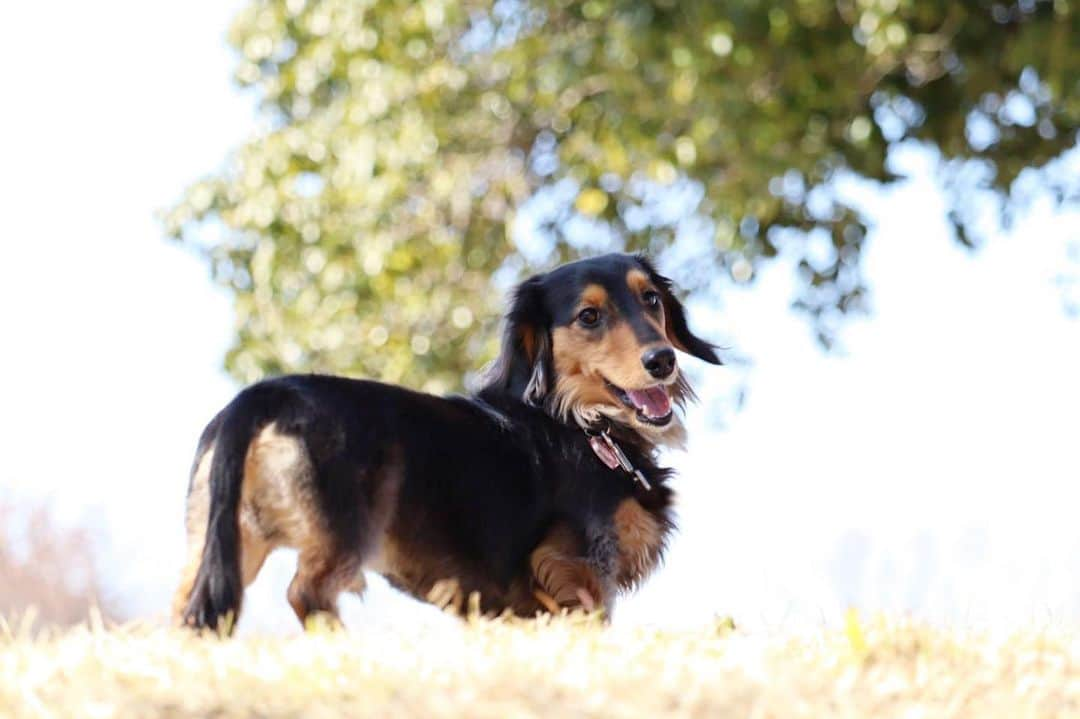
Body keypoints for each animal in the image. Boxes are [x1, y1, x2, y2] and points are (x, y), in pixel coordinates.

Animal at [172, 250, 721, 626]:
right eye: (589, 316)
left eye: (651, 298)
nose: (661, 360)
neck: (581, 426)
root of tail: (264, 394)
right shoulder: (577, 571)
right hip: (344, 531)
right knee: (306, 593)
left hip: (224, 543)